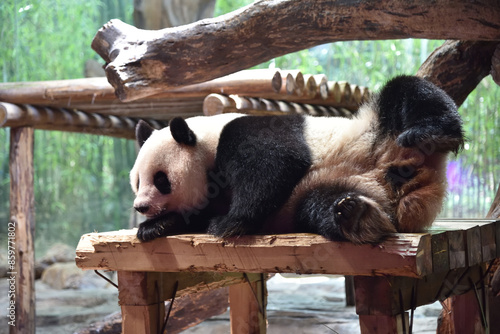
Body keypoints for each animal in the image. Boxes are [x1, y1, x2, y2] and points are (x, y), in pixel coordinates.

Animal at [130, 75, 464, 243]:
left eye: (161, 179)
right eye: (137, 181)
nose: (140, 206)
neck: (205, 141)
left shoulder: (242, 134)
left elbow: (273, 165)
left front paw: (230, 222)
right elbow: (194, 216)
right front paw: (153, 227)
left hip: (374, 128)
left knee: (407, 91)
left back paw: (431, 134)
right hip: (343, 187)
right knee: (321, 205)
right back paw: (356, 217)